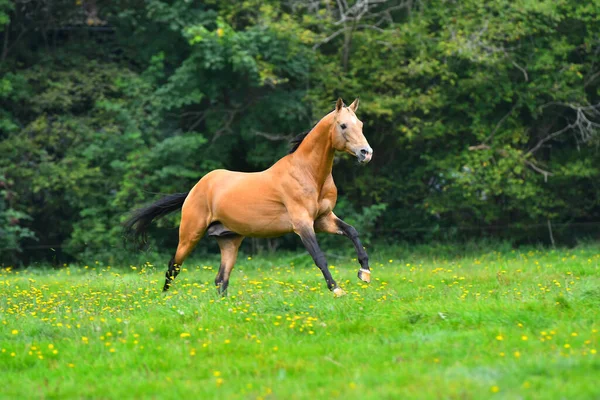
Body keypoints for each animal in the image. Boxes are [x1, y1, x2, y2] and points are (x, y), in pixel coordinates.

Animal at [124, 97, 372, 296]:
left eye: (360, 124)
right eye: (343, 125)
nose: (366, 153)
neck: (308, 173)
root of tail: (196, 188)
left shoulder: (323, 219)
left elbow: (352, 231)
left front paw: (364, 272)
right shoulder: (302, 224)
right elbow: (319, 256)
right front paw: (337, 289)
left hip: (230, 241)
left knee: (221, 279)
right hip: (190, 235)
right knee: (173, 266)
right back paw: (165, 298)